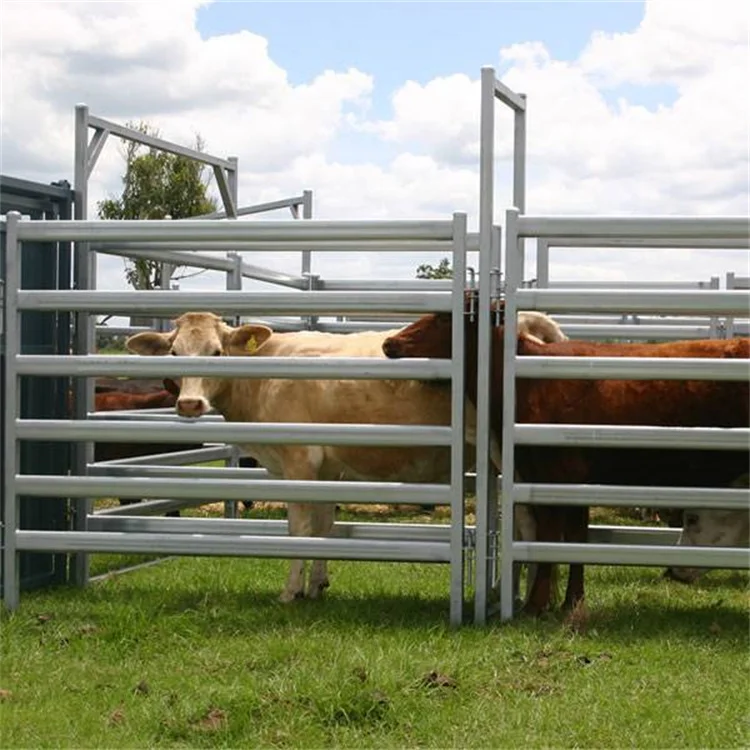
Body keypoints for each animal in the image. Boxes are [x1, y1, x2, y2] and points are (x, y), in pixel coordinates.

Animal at [125, 310, 567, 604]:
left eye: (216, 352)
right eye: (174, 352)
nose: (189, 404)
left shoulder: (299, 461)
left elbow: (300, 529)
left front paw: (290, 591)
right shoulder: (327, 467)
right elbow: (325, 524)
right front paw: (317, 585)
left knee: (528, 522)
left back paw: (526, 596)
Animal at [381, 294, 750, 616]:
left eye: (445, 318)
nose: (390, 343)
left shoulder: (555, 474)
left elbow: (550, 537)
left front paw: (536, 605)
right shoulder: (569, 482)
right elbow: (574, 538)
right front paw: (571, 601)